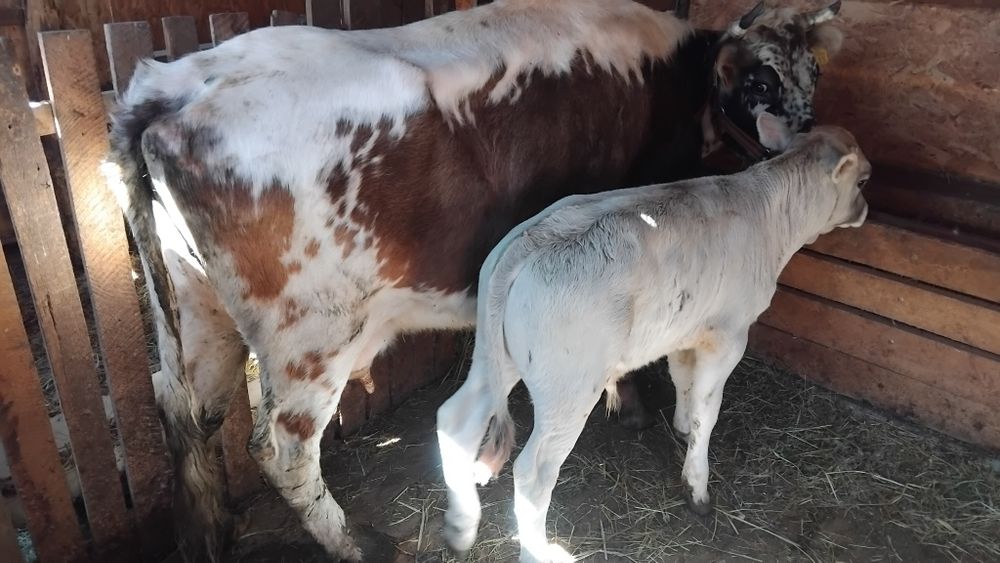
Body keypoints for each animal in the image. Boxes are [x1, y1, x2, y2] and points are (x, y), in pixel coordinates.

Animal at [436, 118, 871, 563]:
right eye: (863, 180)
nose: (866, 211)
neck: (769, 212)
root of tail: (527, 243)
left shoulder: (685, 328)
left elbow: (682, 379)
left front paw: (680, 426)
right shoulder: (729, 335)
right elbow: (707, 413)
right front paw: (696, 486)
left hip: (494, 359)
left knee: (457, 420)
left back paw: (461, 526)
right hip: (569, 388)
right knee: (533, 472)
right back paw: (537, 548)